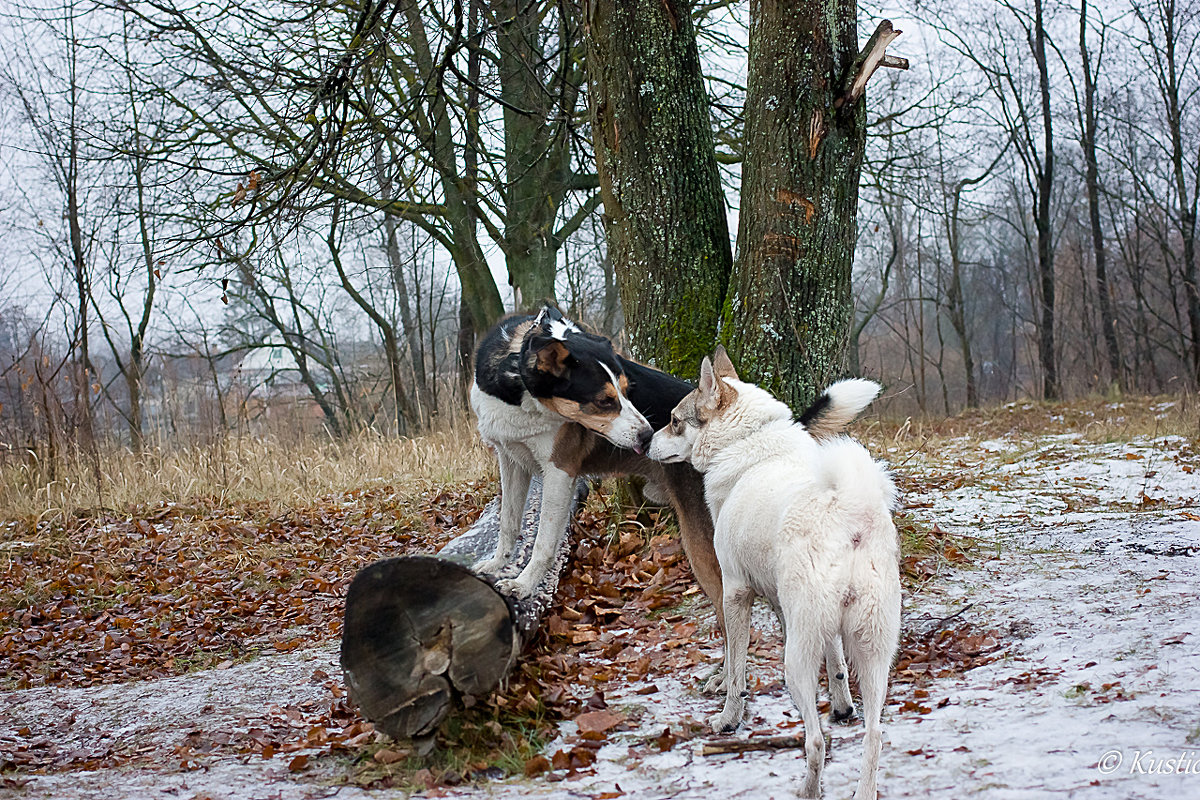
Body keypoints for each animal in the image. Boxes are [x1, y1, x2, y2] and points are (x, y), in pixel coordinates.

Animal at [648, 347, 902, 800]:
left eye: (675, 420)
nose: (645, 441)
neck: (748, 442)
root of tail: (849, 511)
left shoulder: (735, 592)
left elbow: (736, 668)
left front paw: (728, 718)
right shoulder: (794, 612)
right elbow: (837, 664)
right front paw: (842, 705)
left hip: (797, 661)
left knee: (816, 741)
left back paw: (808, 788)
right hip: (873, 649)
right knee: (874, 733)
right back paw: (863, 787)